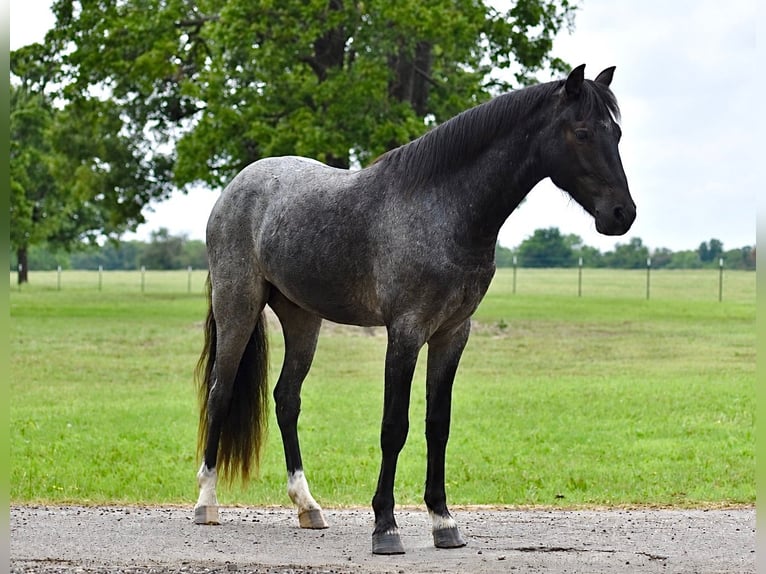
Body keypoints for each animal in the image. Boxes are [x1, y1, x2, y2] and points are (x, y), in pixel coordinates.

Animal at [193, 64, 635, 555]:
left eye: (616, 132)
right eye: (582, 132)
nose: (622, 214)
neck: (443, 208)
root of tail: (235, 188)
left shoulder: (452, 334)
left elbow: (437, 424)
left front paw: (443, 522)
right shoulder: (405, 333)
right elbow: (394, 427)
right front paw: (385, 527)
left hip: (302, 318)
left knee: (287, 399)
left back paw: (308, 506)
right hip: (238, 306)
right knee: (220, 392)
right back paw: (206, 502)